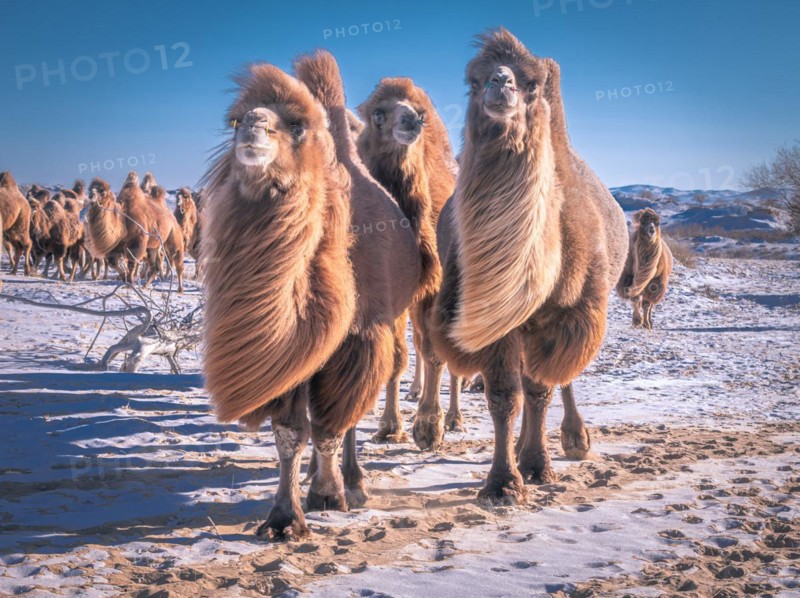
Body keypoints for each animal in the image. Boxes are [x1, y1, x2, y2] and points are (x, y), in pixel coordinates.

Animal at [202, 54, 419, 539]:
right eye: (235, 120)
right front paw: (284, 516)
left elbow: (329, 428)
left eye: (297, 125)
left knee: (350, 416)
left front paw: (328, 494)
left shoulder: (356, 340)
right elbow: (289, 434)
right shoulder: (292, 354)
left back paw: (353, 482)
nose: (253, 127)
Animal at [356, 77, 466, 445]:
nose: (411, 121)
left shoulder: (434, 286)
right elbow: (395, 358)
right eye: (378, 113)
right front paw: (390, 426)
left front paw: (428, 426)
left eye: (420, 112)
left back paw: (454, 418)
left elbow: (434, 353)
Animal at [421, 29, 628, 503]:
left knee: (560, 378)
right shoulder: (493, 322)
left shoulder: (558, 317)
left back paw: (574, 439)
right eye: (473, 81)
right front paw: (502, 481)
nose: (501, 83)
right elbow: (503, 397)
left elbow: (539, 390)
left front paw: (536, 465)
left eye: (531, 84)